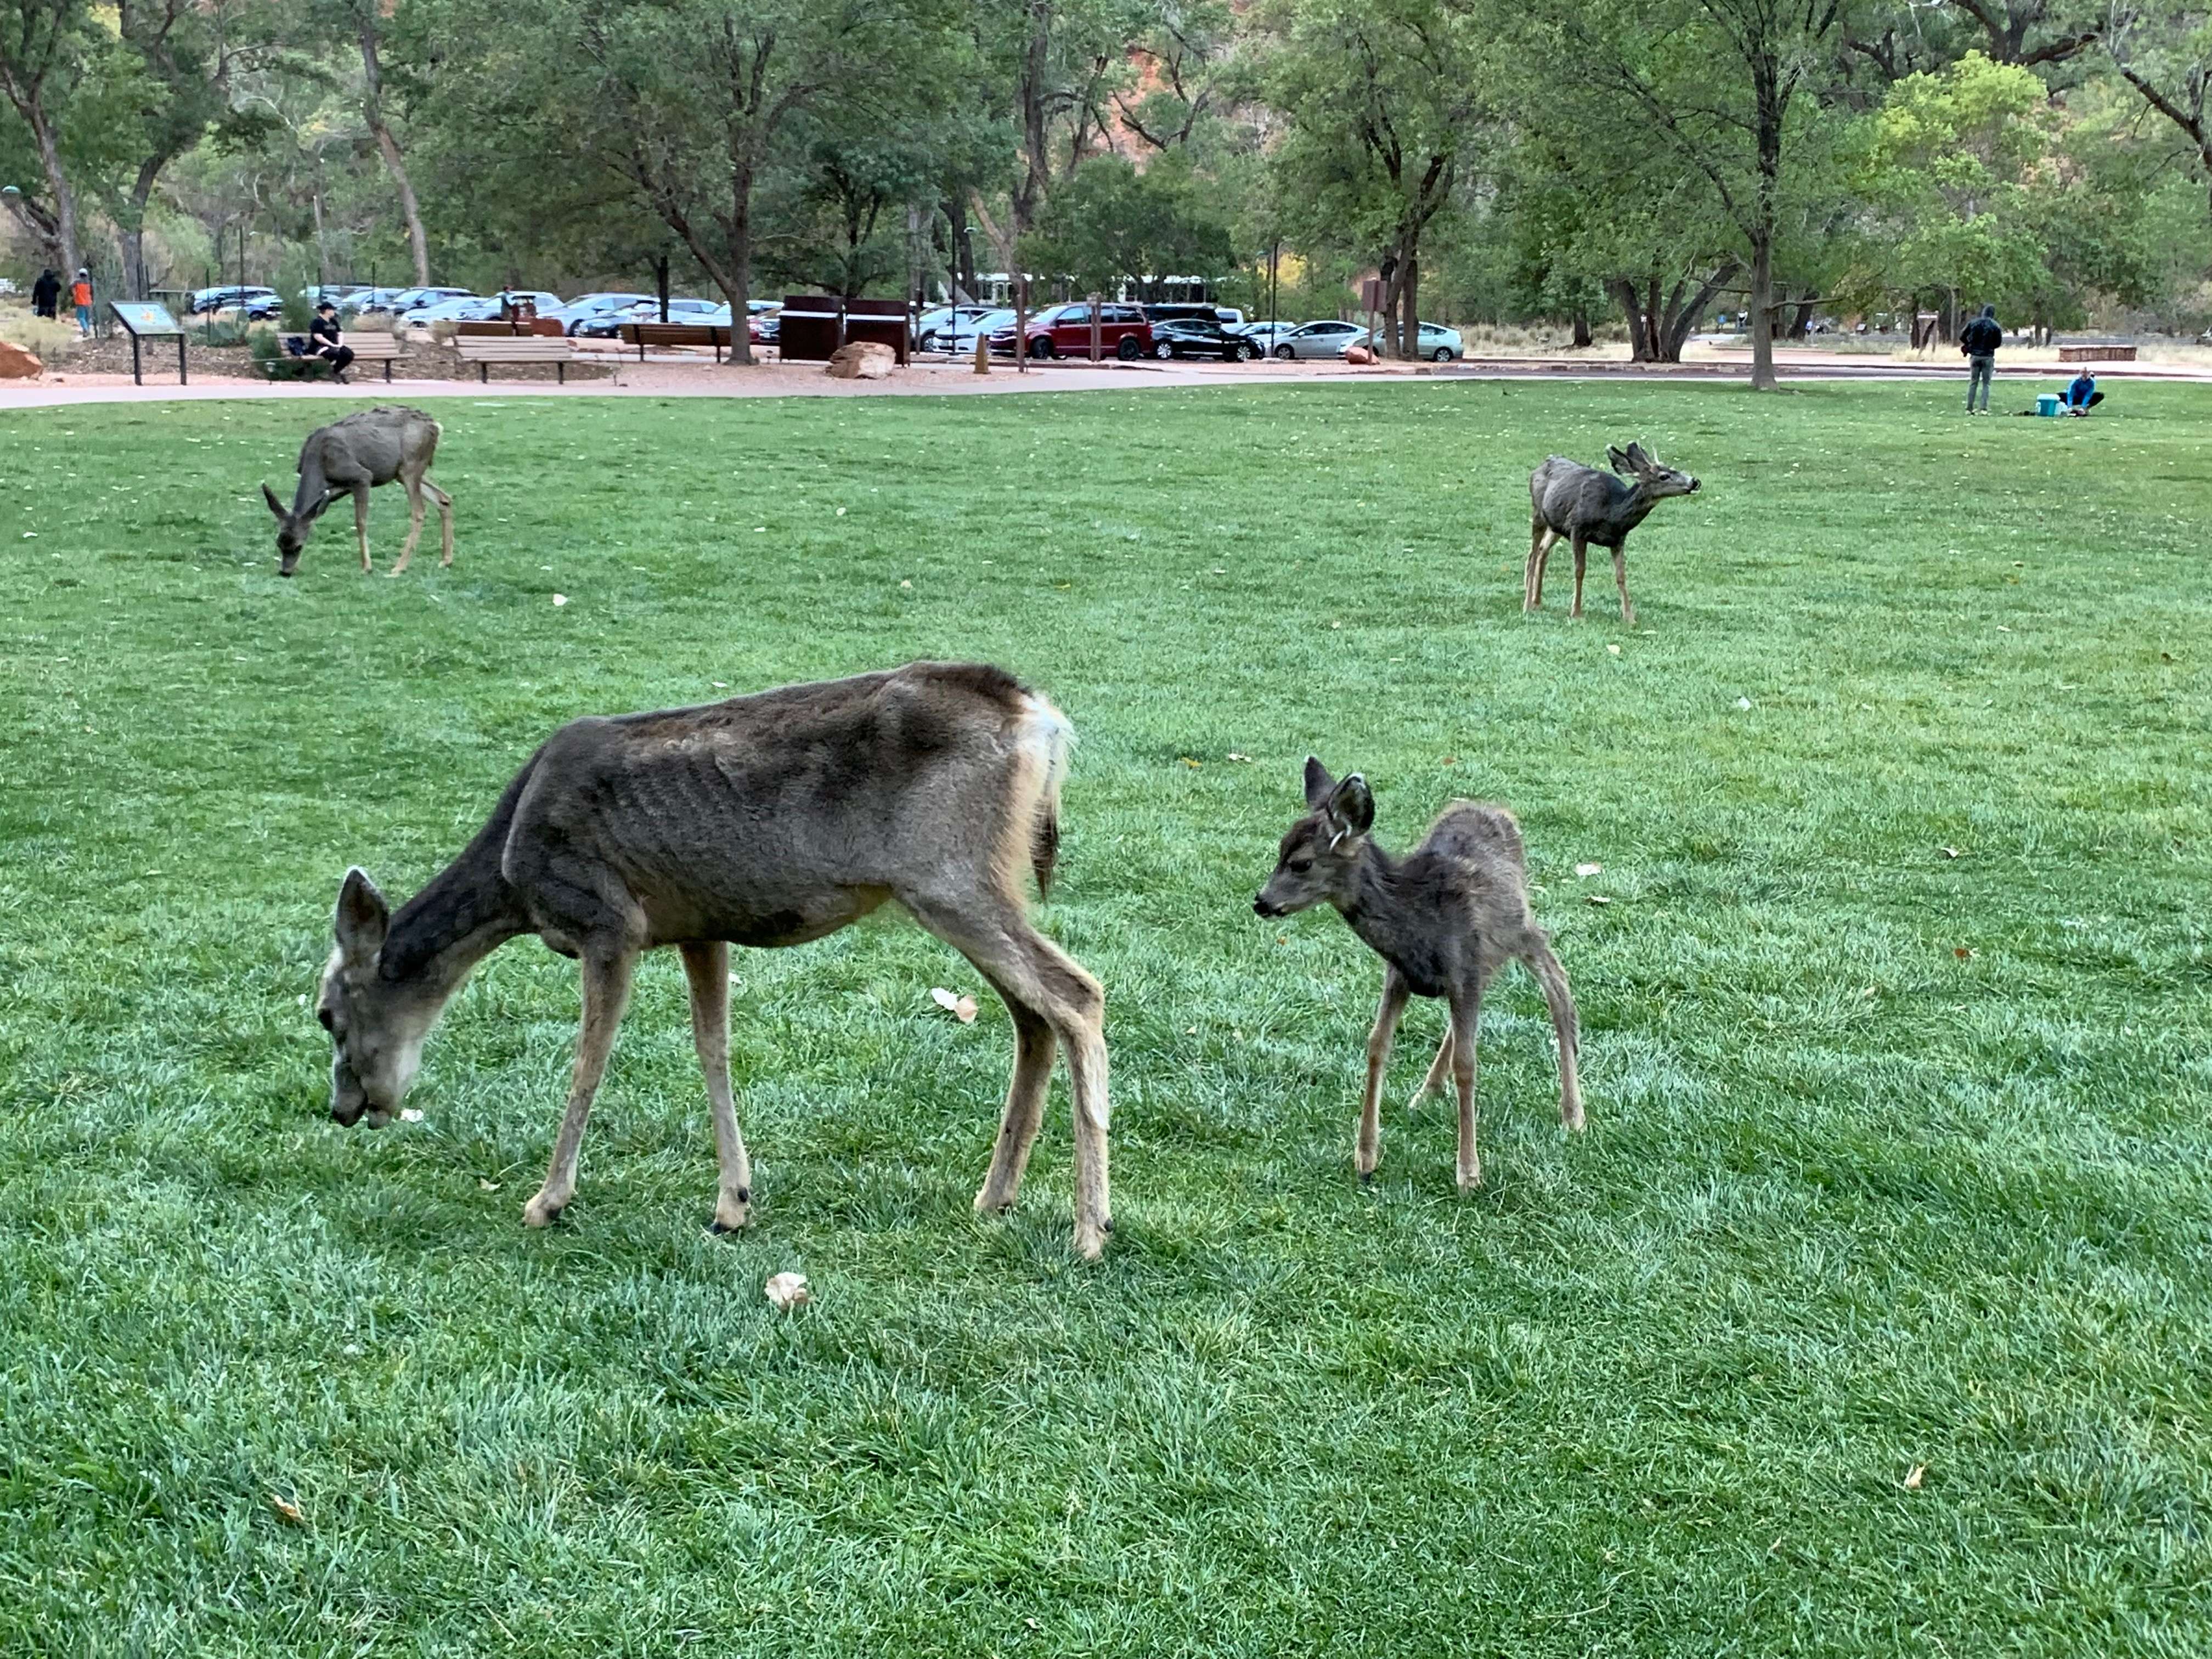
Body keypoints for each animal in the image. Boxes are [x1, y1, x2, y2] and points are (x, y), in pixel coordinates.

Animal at [259, 402, 449, 579]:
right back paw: (446, 560)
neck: (319, 461)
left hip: (410, 465)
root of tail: (436, 426)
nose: (285, 572)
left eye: (298, 546)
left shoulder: (362, 476)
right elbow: (314, 517)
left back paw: (399, 568)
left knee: (419, 511)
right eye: (279, 543)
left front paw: (367, 567)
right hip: (403, 472)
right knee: (444, 498)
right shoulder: (333, 491)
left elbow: (361, 522)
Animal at [320, 663, 1115, 1256]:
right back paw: (995, 1196)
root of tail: (1040, 716)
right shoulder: (698, 926)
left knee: (1077, 995)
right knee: (1032, 1017)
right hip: (971, 884)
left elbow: (589, 1062)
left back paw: (1090, 1229)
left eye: (327, 1014)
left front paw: (547, 1201)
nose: (344, 1109)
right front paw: (733, 1203)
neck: (515, 881)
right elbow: (714, 1048)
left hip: (950, 876)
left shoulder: (607, 921)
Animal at [1256, 761, 1583, 1203]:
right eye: (1279, 850)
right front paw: (1366, 1158)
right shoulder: (1400, 972)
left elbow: (1468, 1063)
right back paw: (1427, 1091)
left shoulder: (1464, 970)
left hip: (1520, 931)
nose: (1261, 902)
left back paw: (1573, 1113)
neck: (1417, 919)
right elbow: (1378, 1044)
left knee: (1559, 987)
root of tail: (1498, 811)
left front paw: (1468, 1174)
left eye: (1301, 863)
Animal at [1531, 442, 1699, 624]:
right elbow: (1580, 570)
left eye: (1674, 469)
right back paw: (1530, 602)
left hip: (1555, 525)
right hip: (1539, 513)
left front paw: (1629, 617)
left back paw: (1536, 601)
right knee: (1535, 552)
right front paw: (1576, 612)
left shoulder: (1618, 539)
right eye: (1664, 476)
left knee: (1543, 550)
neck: (1610, 513)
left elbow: (1621, 576)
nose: (1695, 481)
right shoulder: (1577, 528)